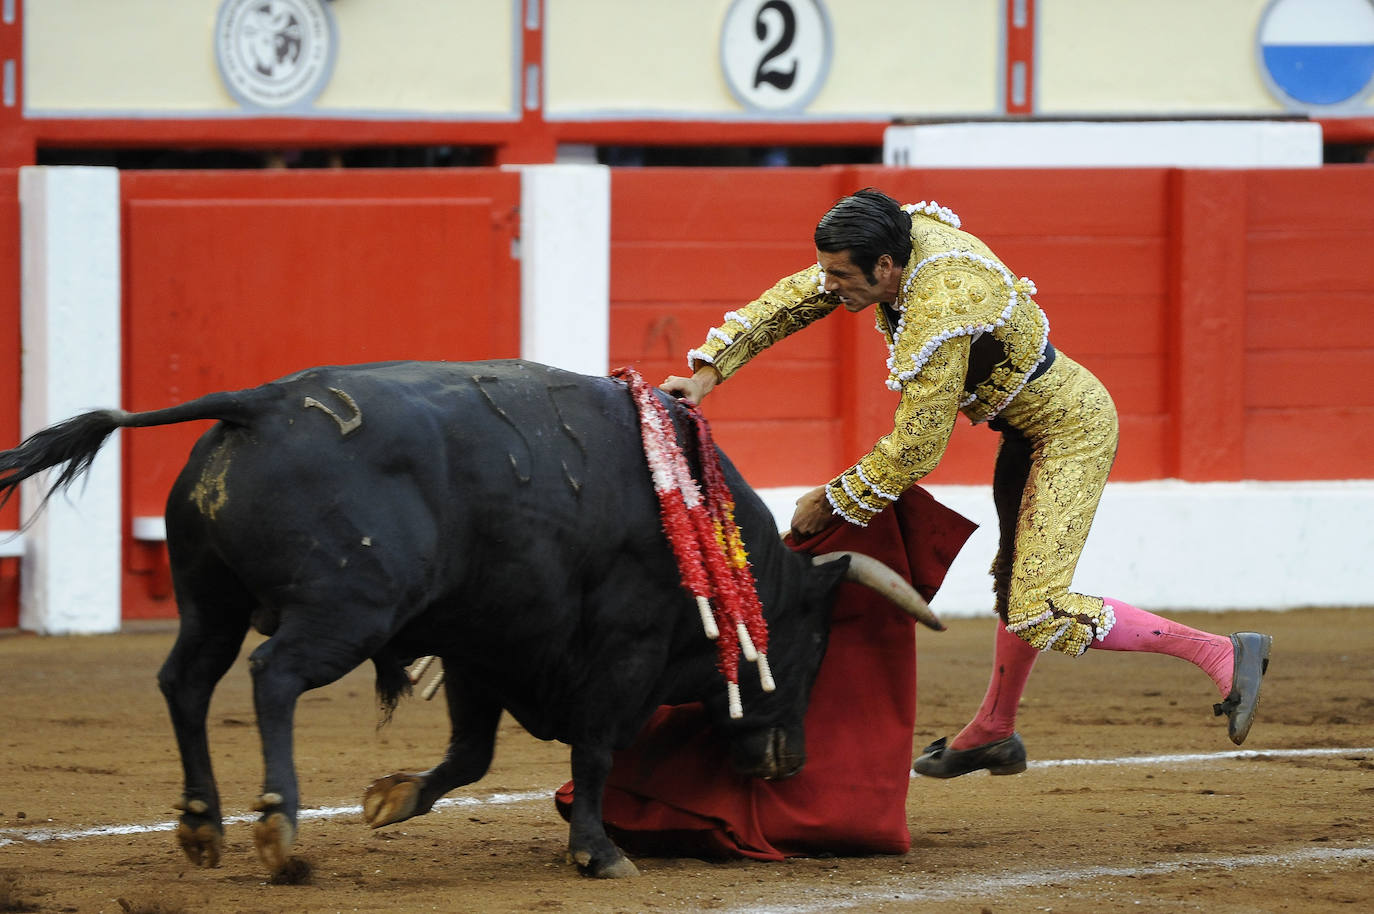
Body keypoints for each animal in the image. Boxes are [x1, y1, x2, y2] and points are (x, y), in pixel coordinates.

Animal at [0, 357, 934, 879]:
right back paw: (281, 832)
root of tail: (257, 404)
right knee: (273, 677)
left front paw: (391, 799)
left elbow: (472, 753)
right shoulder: (622, 650)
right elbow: (595, 750)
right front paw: (600, 853)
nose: (790, 762)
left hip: (210, 601)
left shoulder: (484, 644)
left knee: (186, 681)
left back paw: (203, 826)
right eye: (812, 645)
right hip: (346, 610)